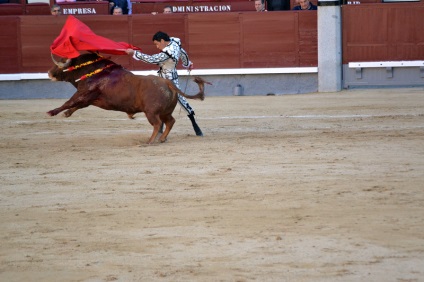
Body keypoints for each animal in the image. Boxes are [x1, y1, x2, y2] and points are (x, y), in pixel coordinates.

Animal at [46, 53, 209, 144]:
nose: (49, 73)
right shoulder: (89, 98)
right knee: (170, 121)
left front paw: (52, 112)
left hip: (151, 112)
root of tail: (167, 82)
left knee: (157, 124)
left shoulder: (84, 92)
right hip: (164, 112)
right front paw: (66, 113)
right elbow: (77, 105)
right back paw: (161, 139)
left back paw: (150, 141)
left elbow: (69, 101)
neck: (94, 71)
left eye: (61, 65)